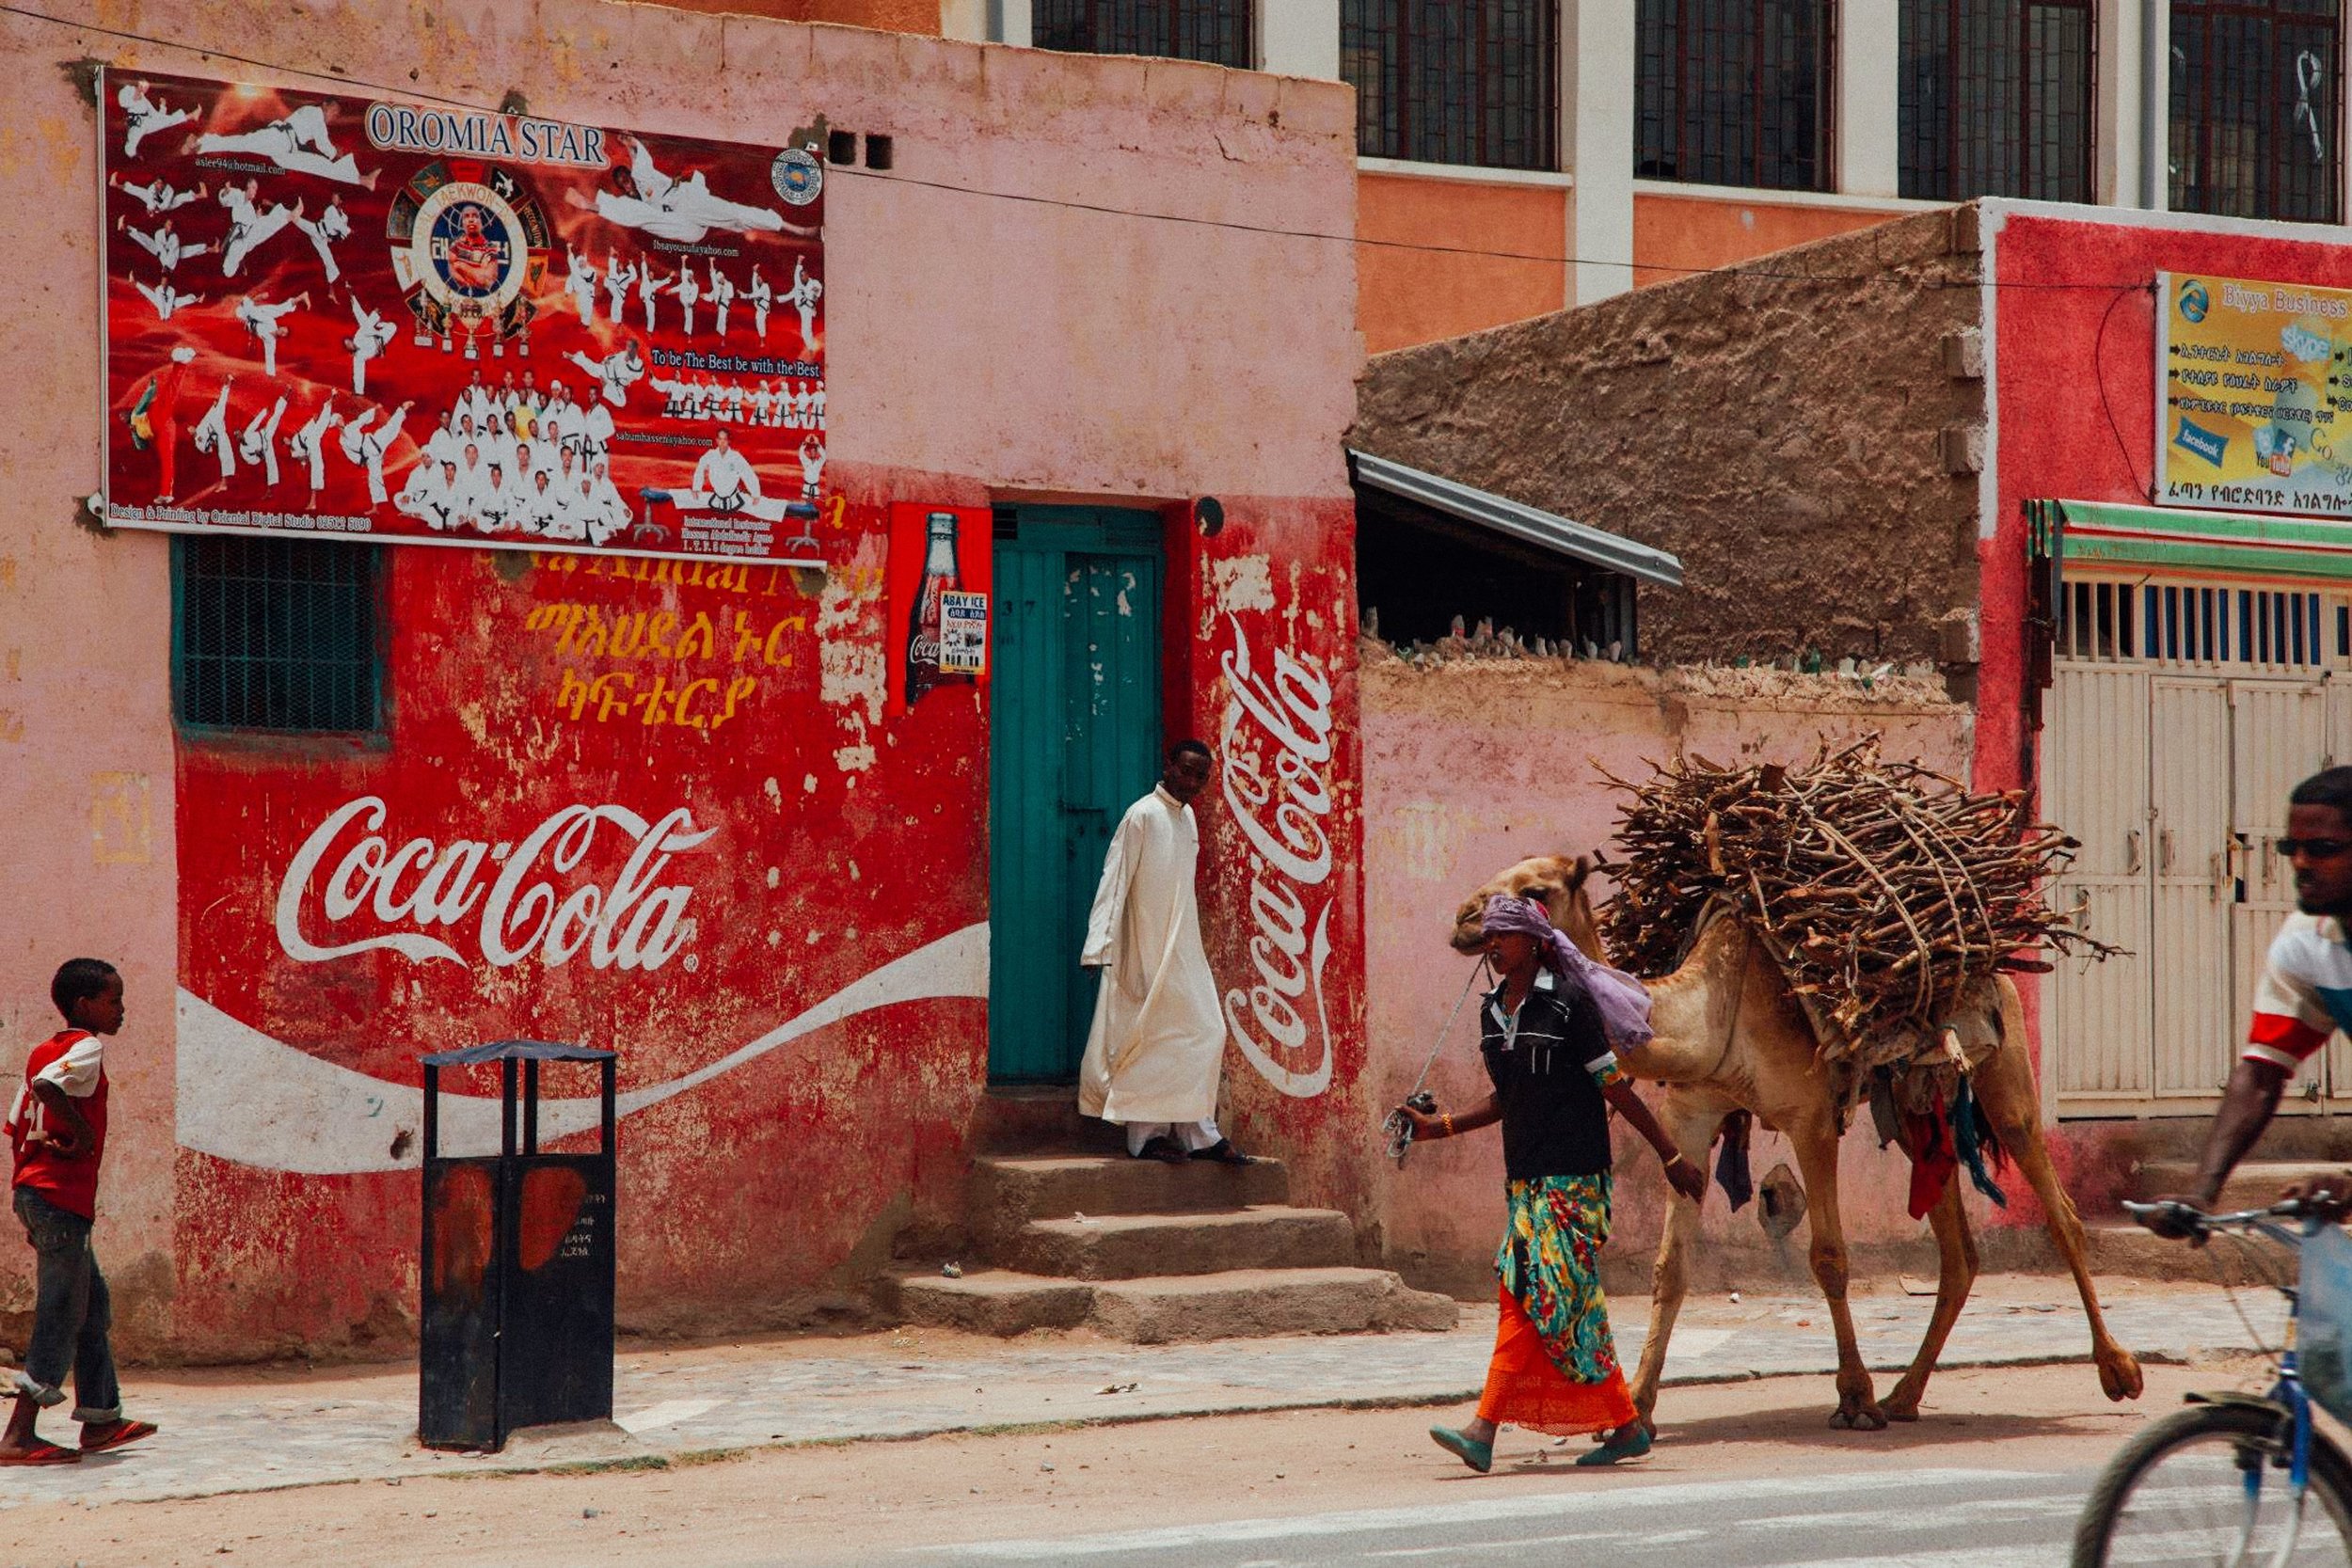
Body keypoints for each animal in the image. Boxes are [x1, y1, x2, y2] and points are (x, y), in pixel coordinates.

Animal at [1439, 860, 2145, 1438]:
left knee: (2059, 1207)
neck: (1709, 1011)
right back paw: (1905, 1395)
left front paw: (1854, 1398)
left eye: (1535, 890)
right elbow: (1670, 1267)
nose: (1464, 919)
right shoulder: (1691, 1112)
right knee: (1961, 1252)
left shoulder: (1810, 1119)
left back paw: (2117, 1370)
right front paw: (1636, 1407)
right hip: (1917, 1104)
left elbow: (1828, 1257)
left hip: (2005, 1067)